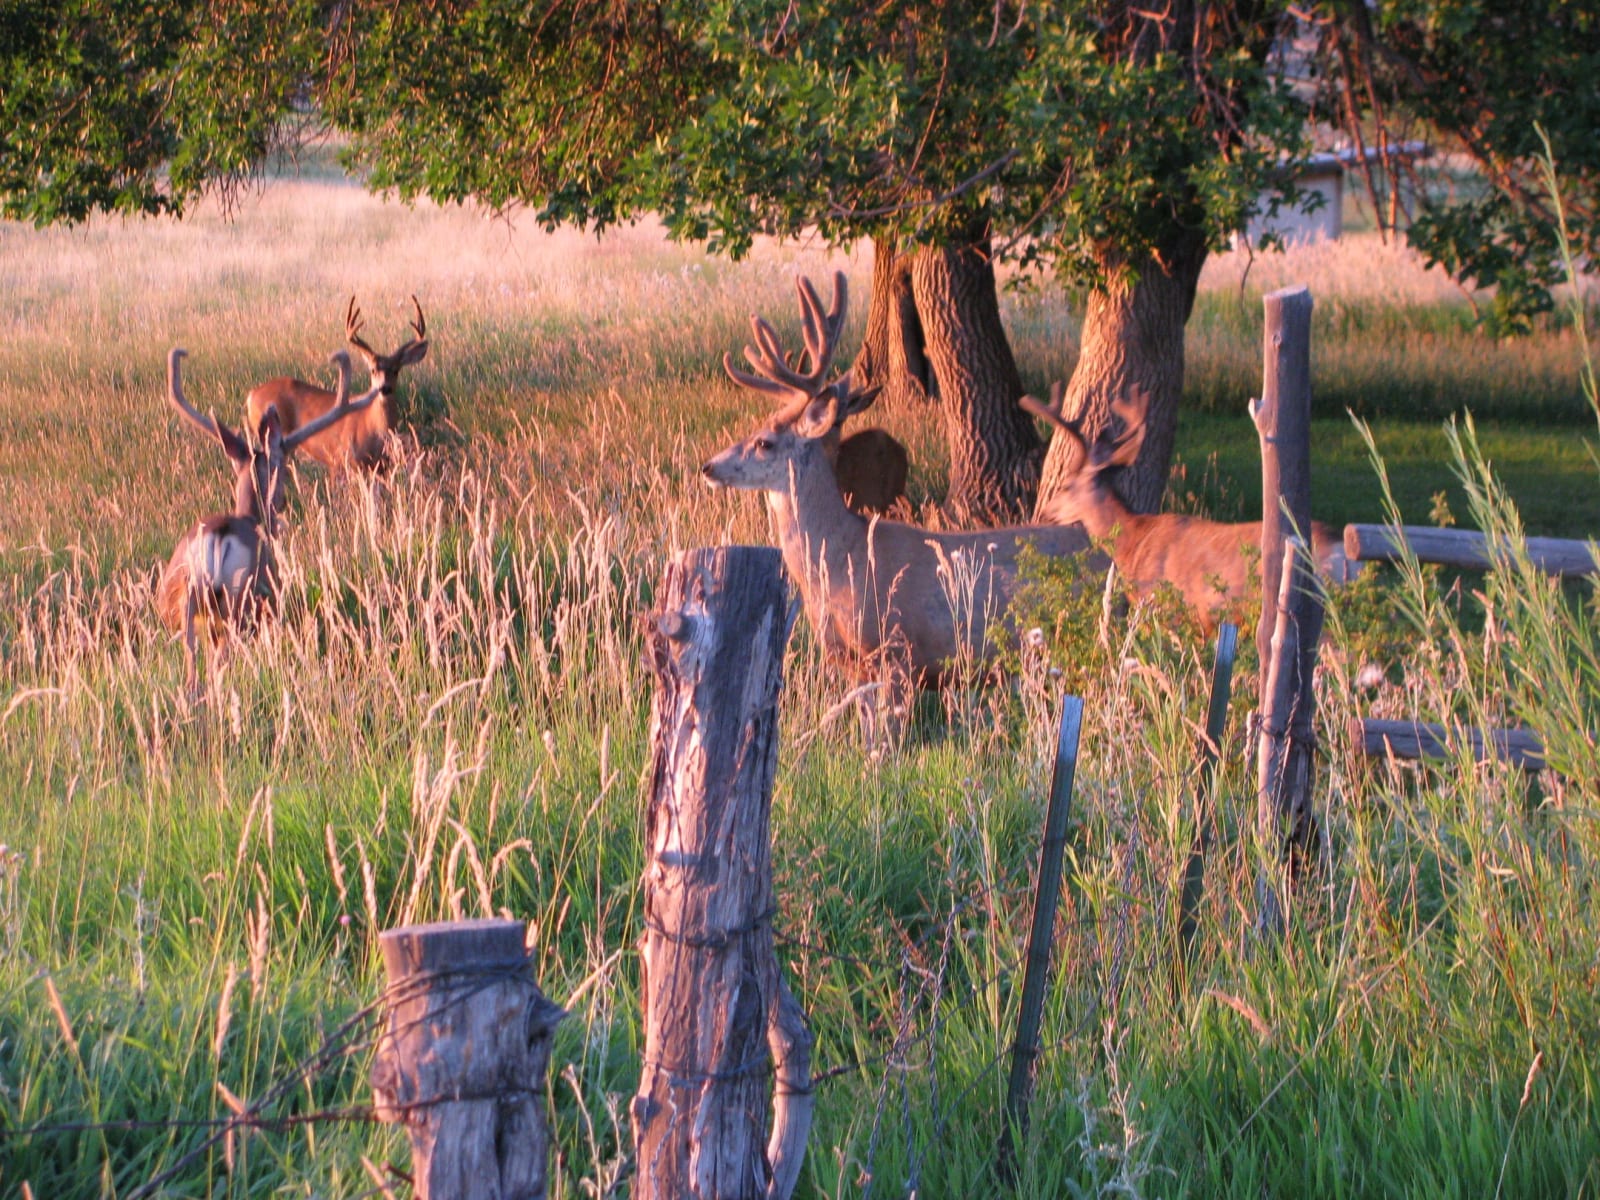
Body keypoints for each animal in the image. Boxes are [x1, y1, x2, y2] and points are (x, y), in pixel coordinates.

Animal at [157, 347, 380, 694]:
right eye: (283, 467)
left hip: (188, 600)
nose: (283, 503)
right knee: (218, 664)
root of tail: (219, 536)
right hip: (241, 603)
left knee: (192, 668)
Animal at [245, 295, 429, 471]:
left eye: (396, 370)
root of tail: (252, 394)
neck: (374, 428)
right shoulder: (344, 459)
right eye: (373, 370)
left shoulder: (381, 466)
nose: (384, 388)